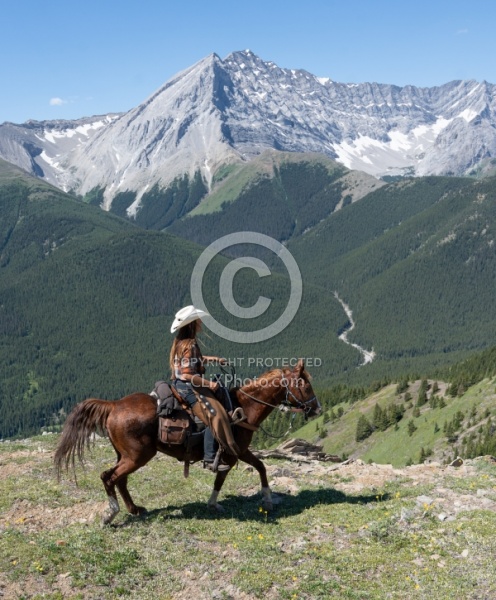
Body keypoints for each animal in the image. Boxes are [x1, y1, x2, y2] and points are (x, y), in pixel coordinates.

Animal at [53, 358, 318, 524]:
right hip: (137, 456)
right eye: (306, 386)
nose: (317, 408)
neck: (243, 408)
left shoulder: (237, 452)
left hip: (126, 456)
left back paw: (134, 509)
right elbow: (235, 473)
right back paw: (112, 514)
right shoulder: (233, 452)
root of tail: (114, 405)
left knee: (120, 480)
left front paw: (217, 503)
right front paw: (265, 500)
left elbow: (253, 469)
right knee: (109, 477)